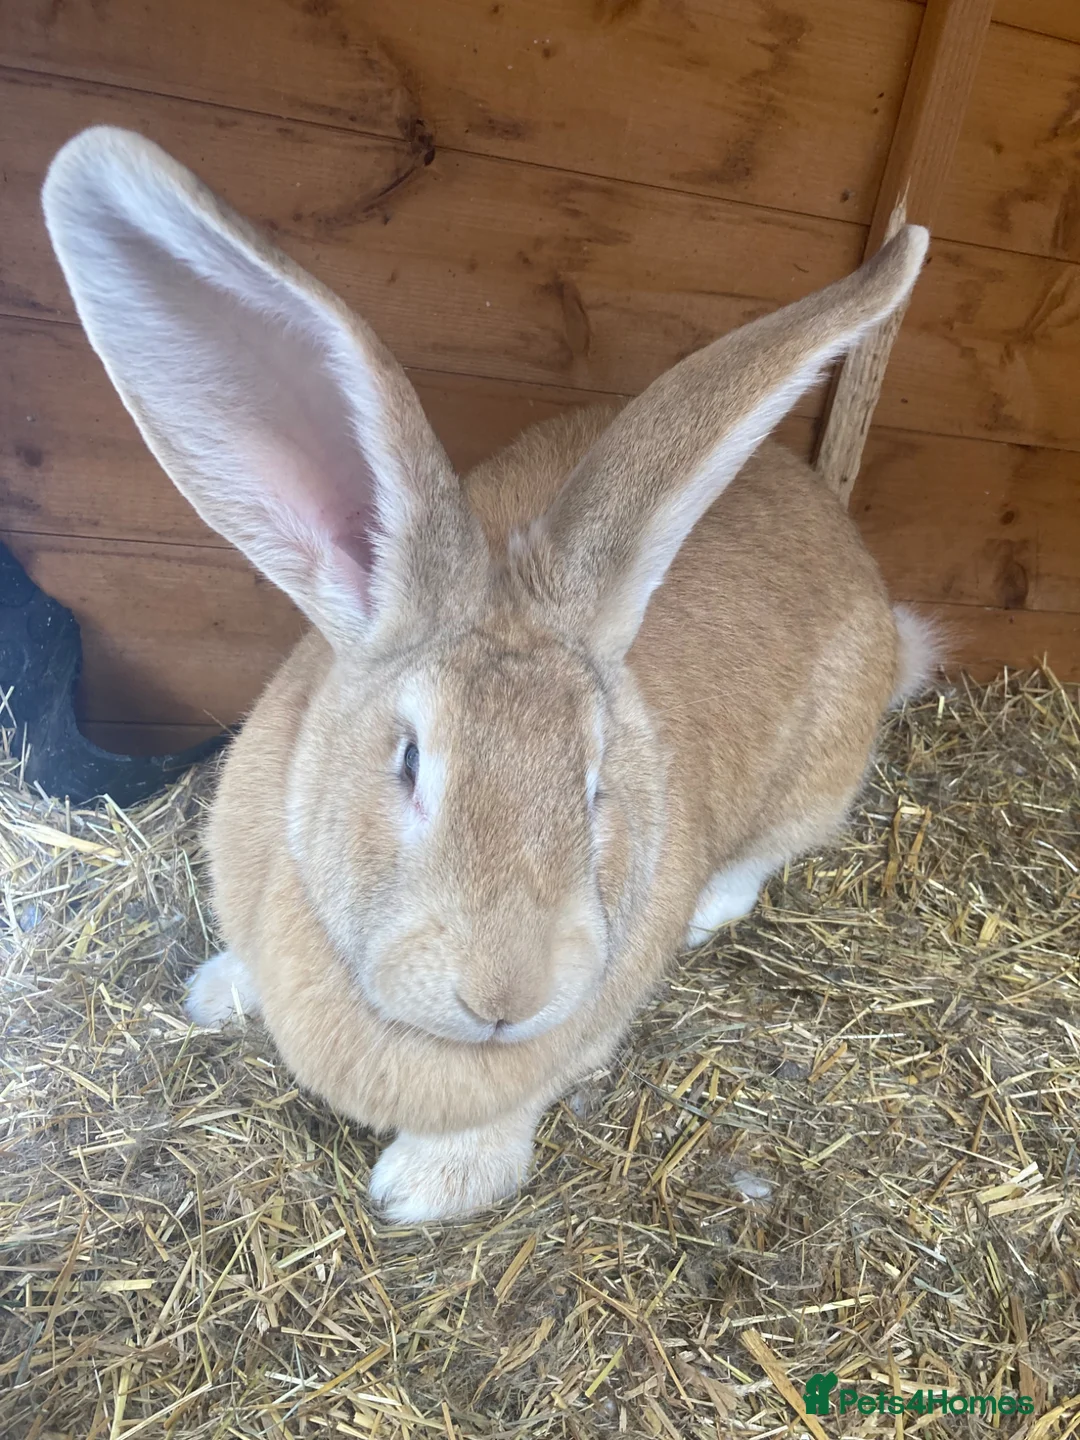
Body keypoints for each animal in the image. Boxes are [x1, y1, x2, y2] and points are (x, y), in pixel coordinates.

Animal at [42, 127, 937, 1223]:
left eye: (595, 788)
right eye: (409, 763)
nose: (506, 998)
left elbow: (515, 1103)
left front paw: (423, 1189)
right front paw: (214, 995)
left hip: (819, 774)